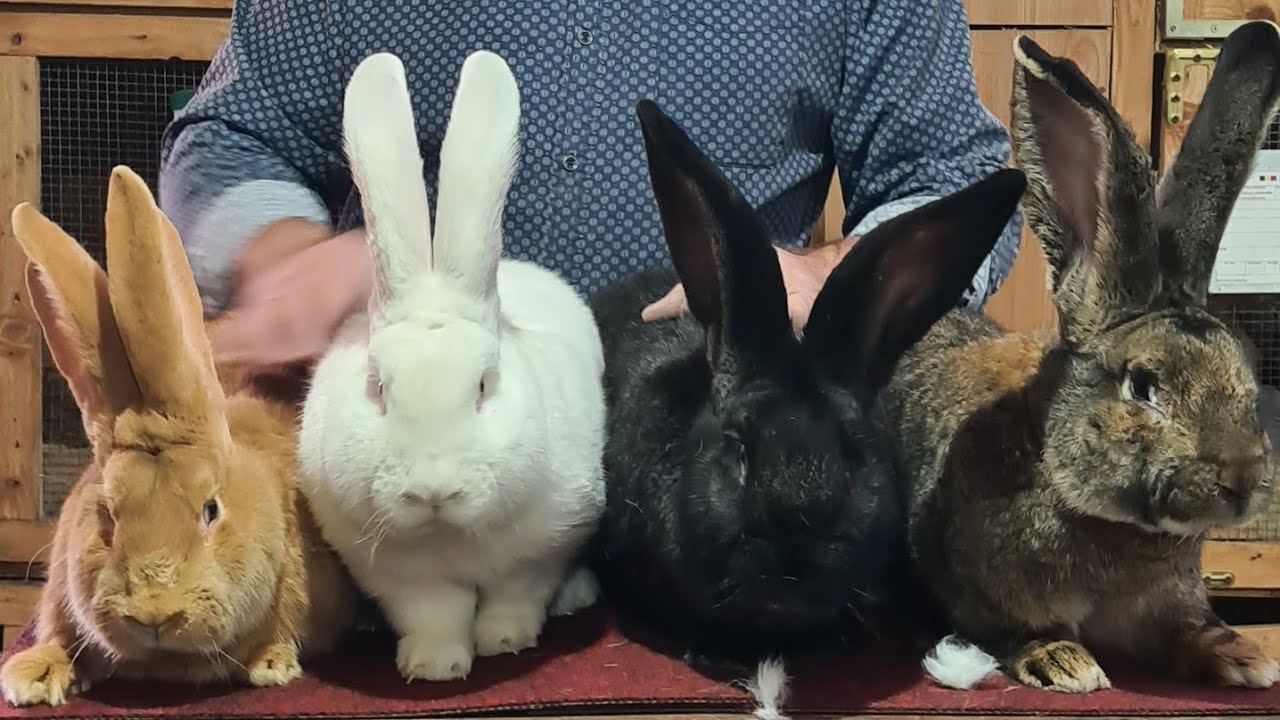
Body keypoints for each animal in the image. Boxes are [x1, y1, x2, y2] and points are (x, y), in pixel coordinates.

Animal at [297, 50, 606, 683]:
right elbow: (434, 612)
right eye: (377, 388)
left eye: (484, 386)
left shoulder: (544, 547)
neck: (450, 537)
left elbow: (516, 595)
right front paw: (434, 665)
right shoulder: (398, 574)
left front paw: (505, 641)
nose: (432, 489)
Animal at [884, 21, 1280, 694]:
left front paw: (1243, 655)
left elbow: (1189, 629)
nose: (1243, 479)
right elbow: (1013, 630)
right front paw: (1063, 661)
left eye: (1247, 376)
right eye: (1143, 386)